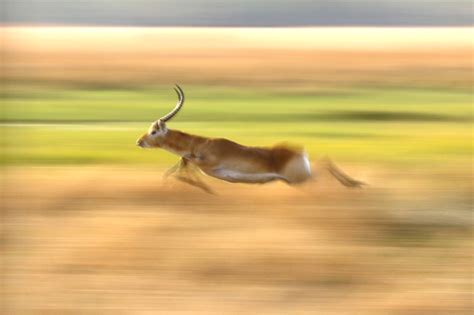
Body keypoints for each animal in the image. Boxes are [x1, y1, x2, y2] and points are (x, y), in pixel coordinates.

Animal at [135, 84, 364, 193]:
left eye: (154, 131)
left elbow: (185, 164)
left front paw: (207, 189)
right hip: (296, 179)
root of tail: (299, 150)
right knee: (325, 161)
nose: (139, 141)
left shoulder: (208, 163)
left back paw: (356, 184)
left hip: (299, 178)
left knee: (324, 163)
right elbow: (180, 165)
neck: (201, 144)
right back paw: (356, 184)